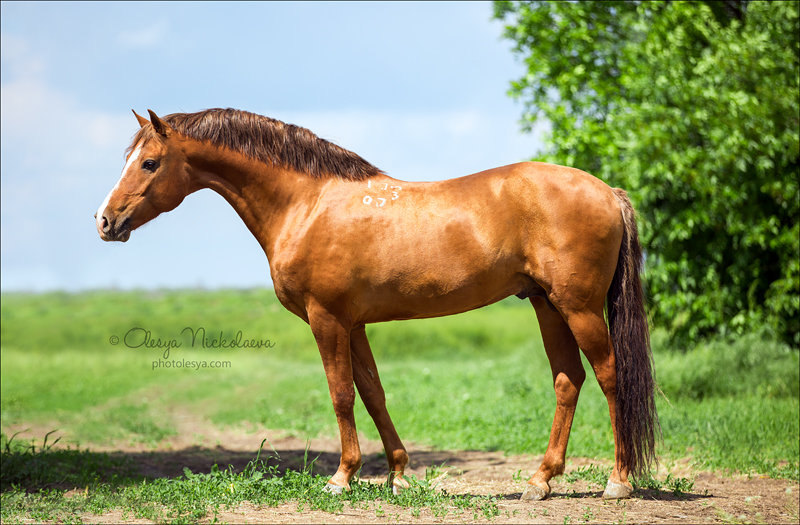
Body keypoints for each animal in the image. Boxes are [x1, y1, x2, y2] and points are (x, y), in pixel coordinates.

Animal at [95, 107, 656, 500]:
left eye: (149, 163)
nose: (104, 221)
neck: (307, 203)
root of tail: (608, 190)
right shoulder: (354, 324)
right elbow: (373, 393)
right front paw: (398, 474)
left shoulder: (326, 319)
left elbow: (341, 395)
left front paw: (342, 478)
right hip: (546, 304)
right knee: (568, 380)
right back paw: (540, 481)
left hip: (578, 307)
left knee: (609, 375)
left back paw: (618, 481)